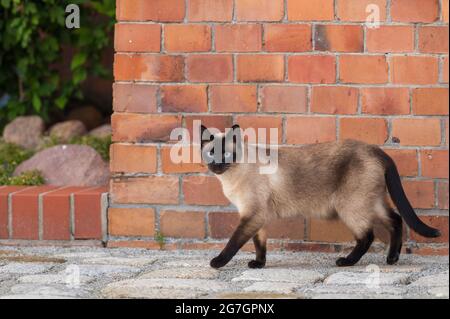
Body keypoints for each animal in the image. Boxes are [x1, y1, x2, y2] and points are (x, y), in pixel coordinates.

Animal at [200, 125, 440, 270]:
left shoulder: (252, 215)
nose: (216, 165)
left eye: (226, 154)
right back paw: (392, 259)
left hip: (351, 206)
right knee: (396, 220)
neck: (231, 176)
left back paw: (346, 261)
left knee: (367, 236)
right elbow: (260, 244)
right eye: (211, 152)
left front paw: (217, 262)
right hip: (372, 202)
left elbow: (234, 242)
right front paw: (258, 264)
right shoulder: (257, 217)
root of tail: (375, 149)